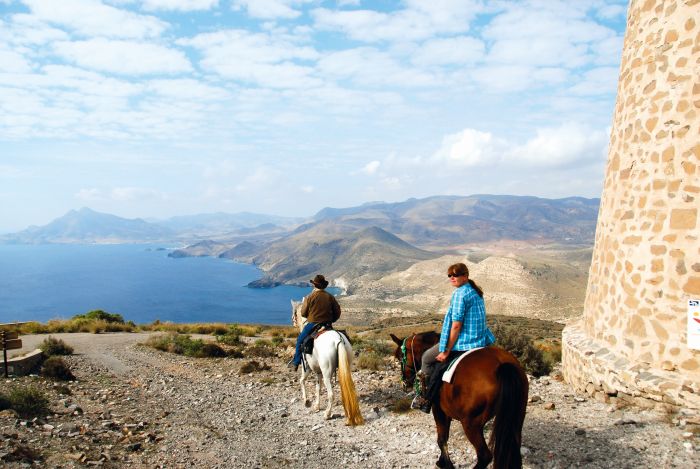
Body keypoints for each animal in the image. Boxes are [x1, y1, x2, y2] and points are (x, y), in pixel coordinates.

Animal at [292, 298, 364, 426]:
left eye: (295, 312)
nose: (292, 321)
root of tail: (338, 339)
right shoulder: (318, 372)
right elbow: (318, 388)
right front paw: (316, 406)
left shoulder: (307, 368)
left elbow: (302, 381)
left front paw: (306, 401)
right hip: (345, 367)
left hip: (327, 373)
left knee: (331, 394)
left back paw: (327, 414)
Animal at [392, 330, 528, 466]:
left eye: (400, 358)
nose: (405, 384)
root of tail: (502, 365)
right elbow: (445, 436)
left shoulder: (438, 409)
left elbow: (441, 438)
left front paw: (445, 464)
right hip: (516, 418)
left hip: (471, 424)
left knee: (485, 456)